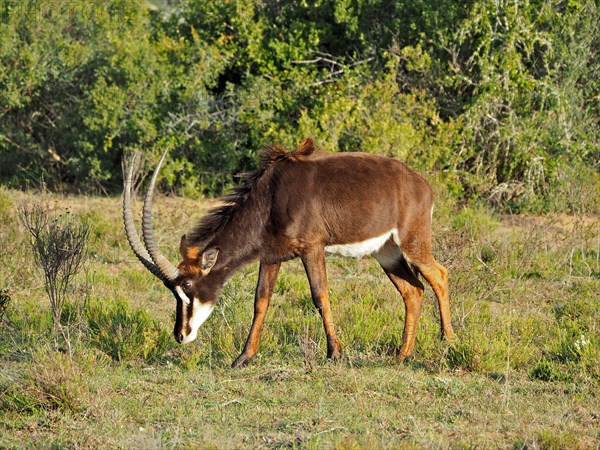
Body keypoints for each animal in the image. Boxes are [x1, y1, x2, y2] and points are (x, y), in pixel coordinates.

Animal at [125, 139, 454, 368]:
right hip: (386, 253)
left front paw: (335, 353)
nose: (181, 335)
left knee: (439, 275)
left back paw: (448, 341)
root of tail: (422, 185)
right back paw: (402, 355)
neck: (271, 196)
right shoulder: (271, 256)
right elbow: (261, 301)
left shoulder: (312, 248)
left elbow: (320, 296)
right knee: (413, 291)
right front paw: (243, 357)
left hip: (412, 243)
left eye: (188, 287)